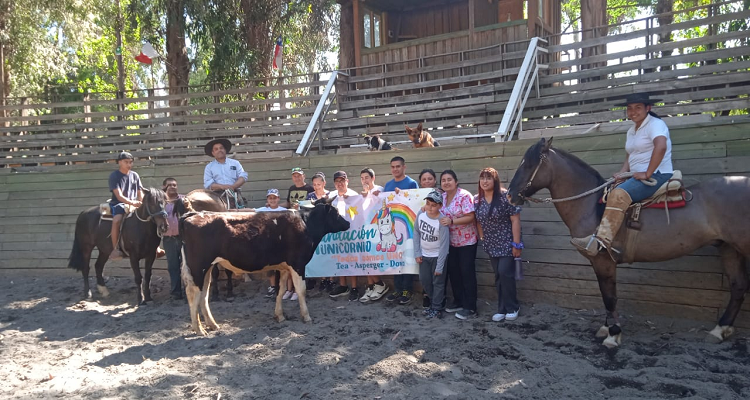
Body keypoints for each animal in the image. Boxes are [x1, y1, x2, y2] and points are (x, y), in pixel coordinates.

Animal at [181, 200, 352, 334]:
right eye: (336, 212)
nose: (348, 223)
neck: (305, 224)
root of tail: (194, 214)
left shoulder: (284, 267)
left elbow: (281, 290)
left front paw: (280, 316)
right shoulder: (297, 264)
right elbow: (301, 290)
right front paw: (306, 316)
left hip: (207, 268)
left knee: (204, 294)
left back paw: (213, 325)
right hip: (198, 266)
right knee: (193, 293)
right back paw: (199, 329)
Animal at [506, 138, 750, 346]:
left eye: (529, 164)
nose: (509, 195)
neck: (593, 206)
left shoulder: (603, 261)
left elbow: (610, 296)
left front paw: (613, 334)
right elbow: (606, 295)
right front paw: (607, 328)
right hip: (729, 248)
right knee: (738, 287)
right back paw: (720, 329)